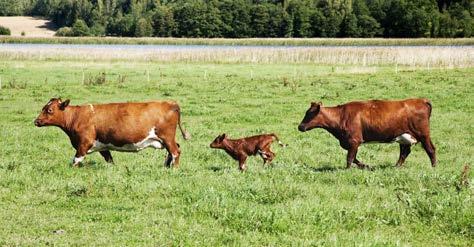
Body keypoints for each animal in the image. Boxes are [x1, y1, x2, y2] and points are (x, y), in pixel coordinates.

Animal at [33, 98, 191, 168]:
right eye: (43, 108)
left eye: (49, 110)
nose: (36, 121)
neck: (76, 116)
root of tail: (170, 103)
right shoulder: (102, 146)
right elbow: (109, 159)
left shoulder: (84, 143)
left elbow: (76, 160)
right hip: (166, 139)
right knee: (174, 149)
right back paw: (166, 166)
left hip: (167, 137)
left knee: (175, 151)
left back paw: (174, 168)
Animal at [298, 98, 436, 168]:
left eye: (309, 113)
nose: (300, 127)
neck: (341, 116)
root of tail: (421, 100)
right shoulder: (351, 143)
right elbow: (354, 158)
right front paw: (365, 165)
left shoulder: (354, 141)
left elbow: (349, 158)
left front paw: (347, 170)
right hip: (403, 137)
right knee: (404, 152)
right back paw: (396, 166)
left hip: (423, 134)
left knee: (431, 149)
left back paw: (434, 167)